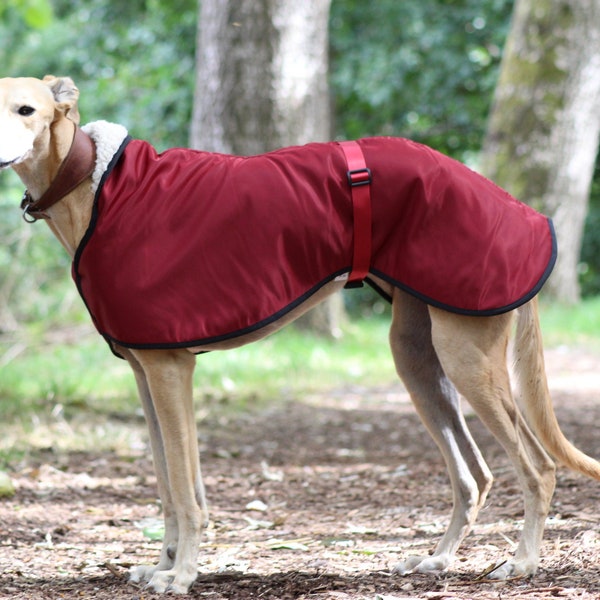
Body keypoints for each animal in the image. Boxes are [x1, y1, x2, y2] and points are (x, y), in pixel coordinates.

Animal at [1, 74, 600, 592]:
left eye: (26, 109)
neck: (94, 186)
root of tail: (522, 211)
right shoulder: (147, 373)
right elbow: (171, 486)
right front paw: (165, 564)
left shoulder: (171, 369)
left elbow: (186, 493)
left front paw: (182, 574)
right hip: (419, 358)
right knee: (474, 475)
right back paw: (439, 559)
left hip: (466, 357)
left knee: (539, 468)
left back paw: (522, 563)